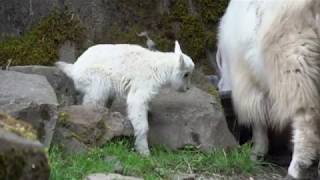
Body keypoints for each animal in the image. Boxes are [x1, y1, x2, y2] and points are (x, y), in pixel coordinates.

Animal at [218, 0, 320, 179]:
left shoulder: (249, 83)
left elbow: (258, 118)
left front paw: (256, 152)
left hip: (295, 67)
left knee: (305, 122)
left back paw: (296, 168)